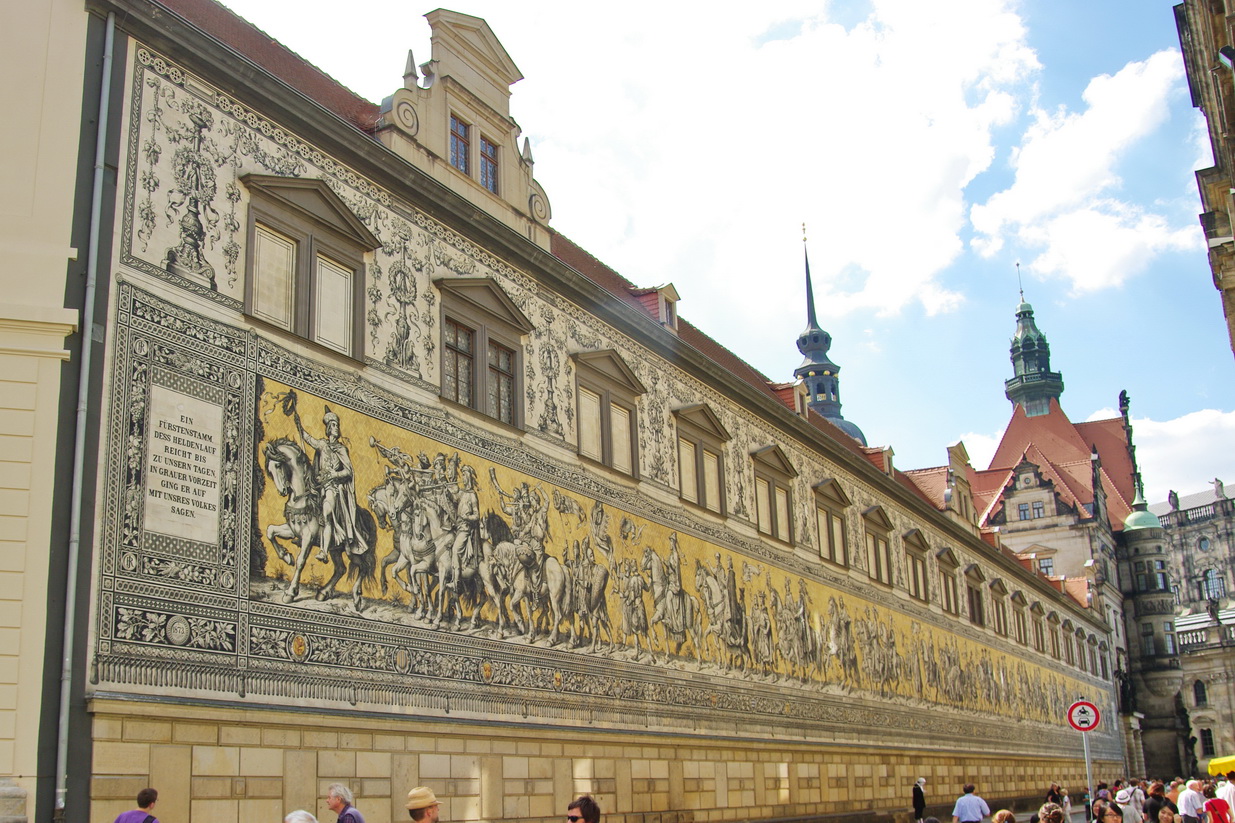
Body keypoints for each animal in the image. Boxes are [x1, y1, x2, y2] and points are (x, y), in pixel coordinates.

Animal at [260, 434, 375, 607]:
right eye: (269, 469)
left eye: (278, 465)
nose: (282, 491)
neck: (303, 499)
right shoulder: (292, 530)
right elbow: (270, 531)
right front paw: (286, 556)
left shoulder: (308, 537)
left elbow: (301, 561)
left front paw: (290, 593)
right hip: (336, 549)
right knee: (341, 569)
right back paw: (323, 592)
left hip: (353, 550)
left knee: (364, 566)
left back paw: (356, 596)